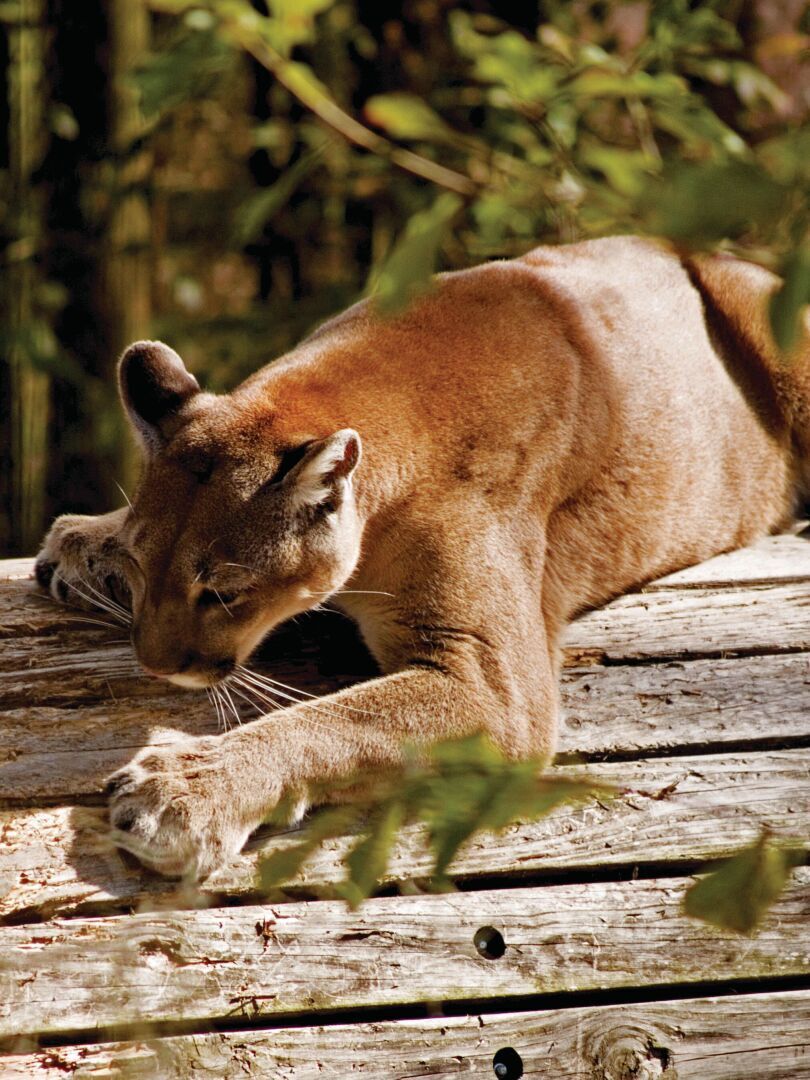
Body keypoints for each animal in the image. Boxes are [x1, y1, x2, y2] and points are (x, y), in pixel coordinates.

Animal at [36, 234, 810, 876]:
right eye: (143, 567)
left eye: (223, 592)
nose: (153, 665)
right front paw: (86, 542)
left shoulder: (491, 683)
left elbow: (338, 720)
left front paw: (186, 792)